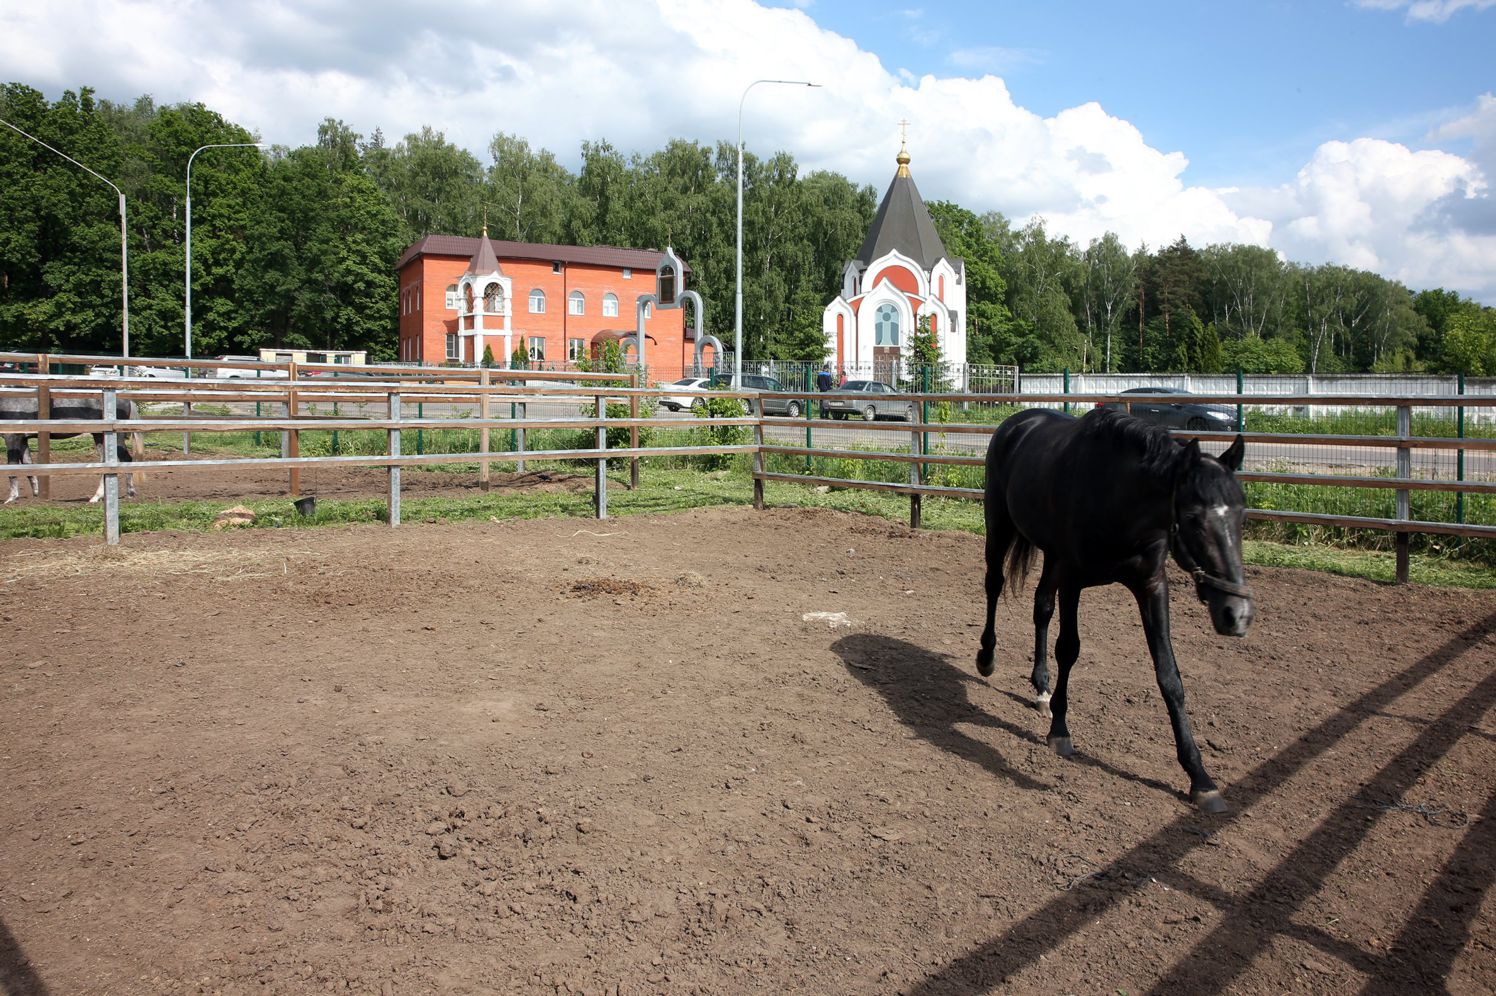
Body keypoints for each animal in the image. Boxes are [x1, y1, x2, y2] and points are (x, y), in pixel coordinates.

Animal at [981, 406, 1250, 813]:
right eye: (1192, 517)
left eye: (1241, 514)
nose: (1237, 614)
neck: (1118, 499)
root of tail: (1016, 422)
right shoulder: (1073, 580)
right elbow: (1069, 649)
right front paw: (1060, 731)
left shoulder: (1152, 586)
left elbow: (1169, 676)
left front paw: (1200, 778)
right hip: (1000, 527)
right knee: (994, 586)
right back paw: (987, 658)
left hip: (1050, 556)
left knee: (1041, 607)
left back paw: (1041, 689)